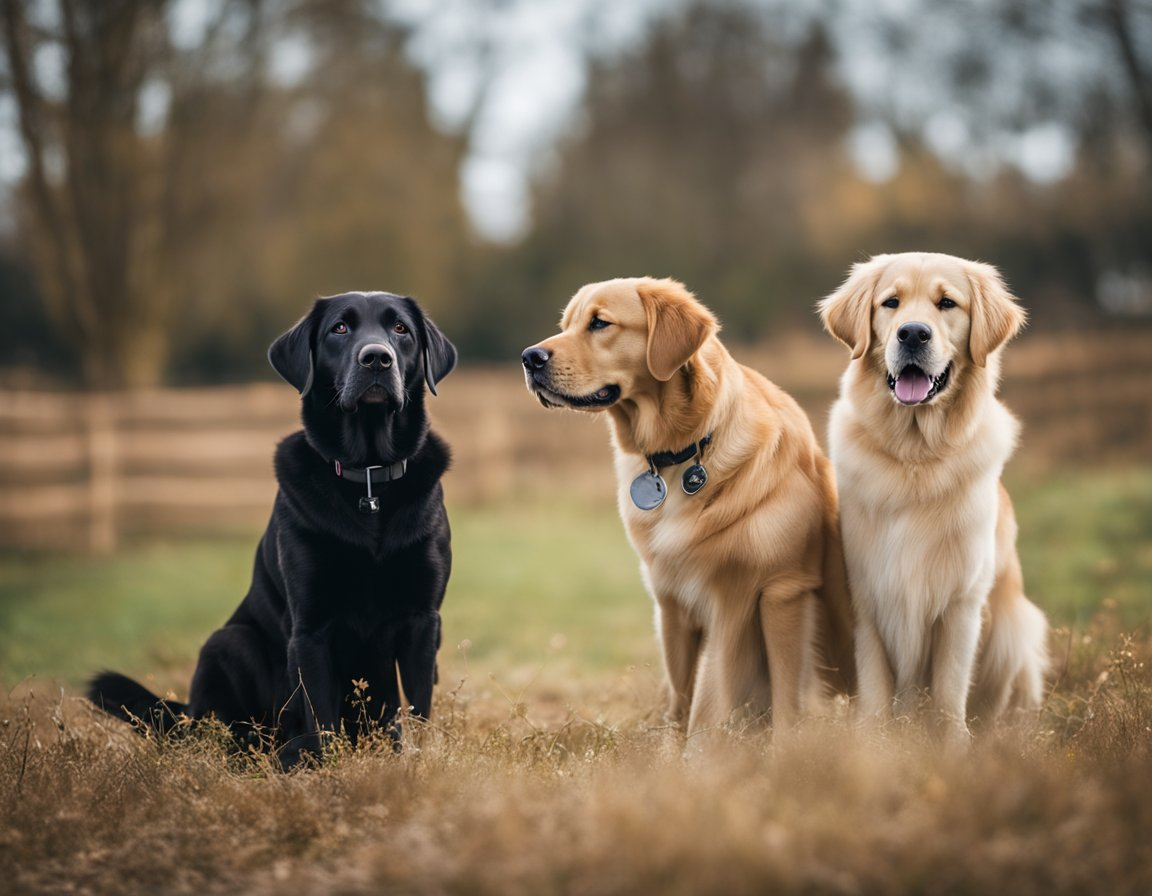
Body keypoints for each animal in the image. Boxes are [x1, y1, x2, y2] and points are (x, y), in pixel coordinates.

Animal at [87, 290, 456, 764]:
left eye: (400, 329)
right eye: (340, 328)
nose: (377, 358)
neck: (369, 478)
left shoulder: (423, 622)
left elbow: (419, 712)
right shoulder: (310, 628)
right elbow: (322, 720)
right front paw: (328, 768)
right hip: (229, 642)